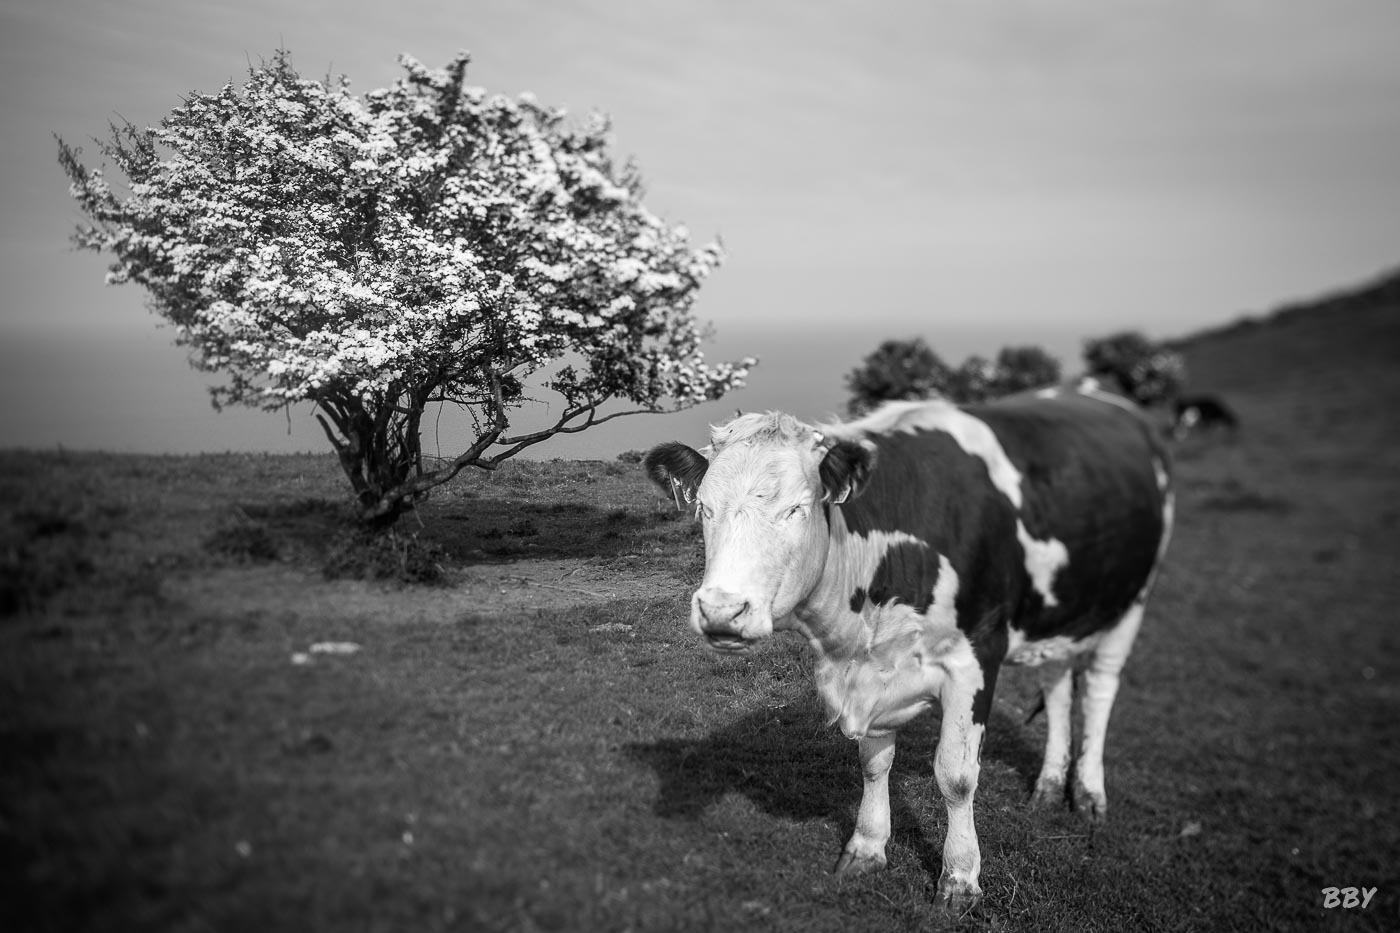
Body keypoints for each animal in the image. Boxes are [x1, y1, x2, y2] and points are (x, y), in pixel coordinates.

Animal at [641, 383, 1170, 907]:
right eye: (704, 508)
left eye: (797, 508)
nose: (721, 611)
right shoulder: (870, 671)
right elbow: (874, 764)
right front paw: (867, 846)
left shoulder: (975, 658)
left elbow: (957, 774)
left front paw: (960, 877)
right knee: (1057, 685)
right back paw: (1049, 784)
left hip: (1132, 601)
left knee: (1100, 691)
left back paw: (1088, 792)